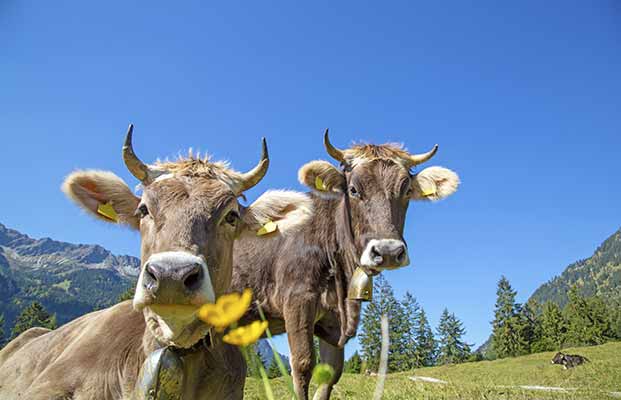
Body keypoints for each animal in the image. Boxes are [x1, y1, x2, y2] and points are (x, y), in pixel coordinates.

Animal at [230, 132, 458, 400]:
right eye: (353, 189)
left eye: (406, 190)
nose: (388, 252)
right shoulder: (297, 300)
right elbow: (303, 365)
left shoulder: (335, 318)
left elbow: (331, 374)